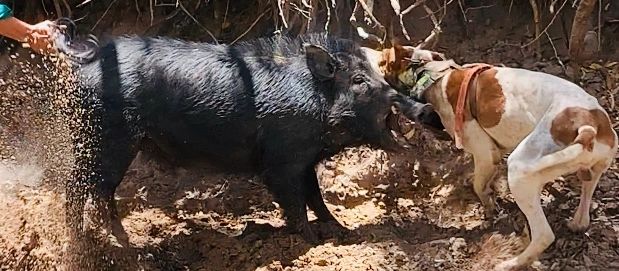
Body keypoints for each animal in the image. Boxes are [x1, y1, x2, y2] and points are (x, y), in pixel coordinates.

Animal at [360, 45, 616, 270]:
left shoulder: (485, 154)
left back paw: (512, 263)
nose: (361, 49)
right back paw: (575, 223)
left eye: (382, 59)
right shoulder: (495, 153)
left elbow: (478, 186)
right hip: (591, 170)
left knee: (543, 234)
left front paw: (490, 210)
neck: (433, 73)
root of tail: (589, 126)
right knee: (584, 208)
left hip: (520, 171)